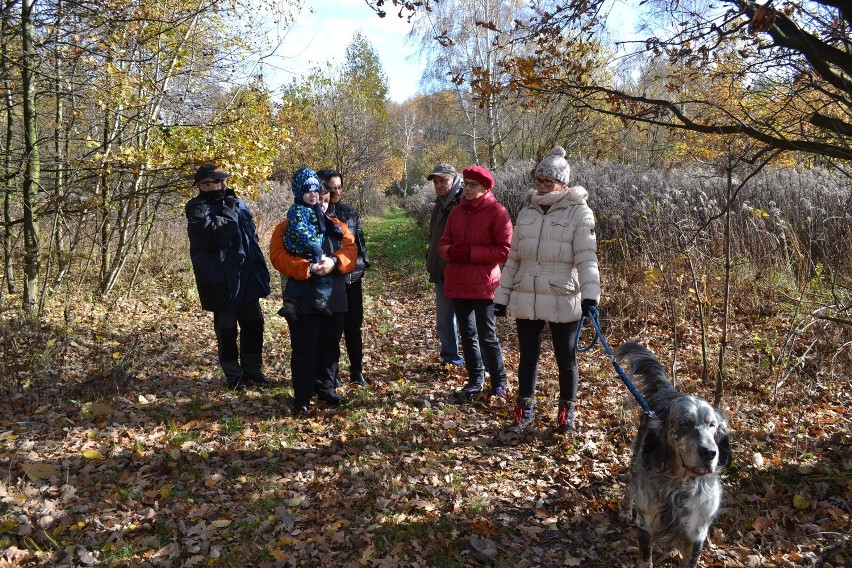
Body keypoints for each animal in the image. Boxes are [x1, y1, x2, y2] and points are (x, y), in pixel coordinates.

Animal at [616, 342, 728, 568]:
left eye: (712, 425)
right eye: (684, 423)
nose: (710, 453)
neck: (679, 486)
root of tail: (669, 391)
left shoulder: (697, 534)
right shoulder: (646, 524)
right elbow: (646, 560)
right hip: (637, 457)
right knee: (630, 486)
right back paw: (625, 511)